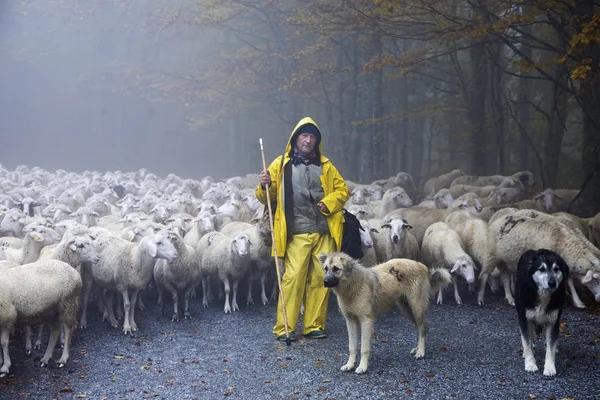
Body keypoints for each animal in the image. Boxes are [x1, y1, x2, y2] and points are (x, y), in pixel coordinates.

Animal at [512, 248, 568, 376]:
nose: (552, 283)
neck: (543, 294)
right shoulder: (524, 319)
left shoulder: (553, 322)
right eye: (541, 269)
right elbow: (526, 342)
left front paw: (550, 368)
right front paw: (530, 364)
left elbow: (550, 348)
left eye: (556, 269)